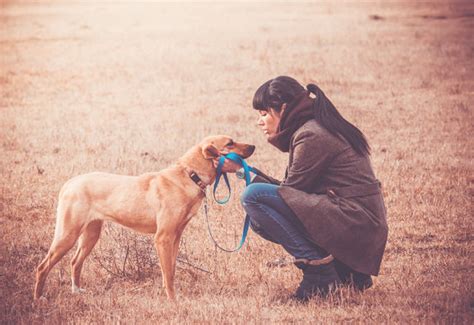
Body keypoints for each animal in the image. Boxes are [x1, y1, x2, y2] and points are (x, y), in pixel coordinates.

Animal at [34, 134, 256, 298]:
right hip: (67, 235)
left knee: (75, 262)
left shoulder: (175, 238)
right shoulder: (163, 238)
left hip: (91, 235)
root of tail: (70, 183)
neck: (189, 175)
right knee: (42, 267)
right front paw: (173, 301)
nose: (254, 146)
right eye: (230, 143)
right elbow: (168, 275)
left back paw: (77, 291)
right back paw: (38, 298)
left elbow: (171, 271)